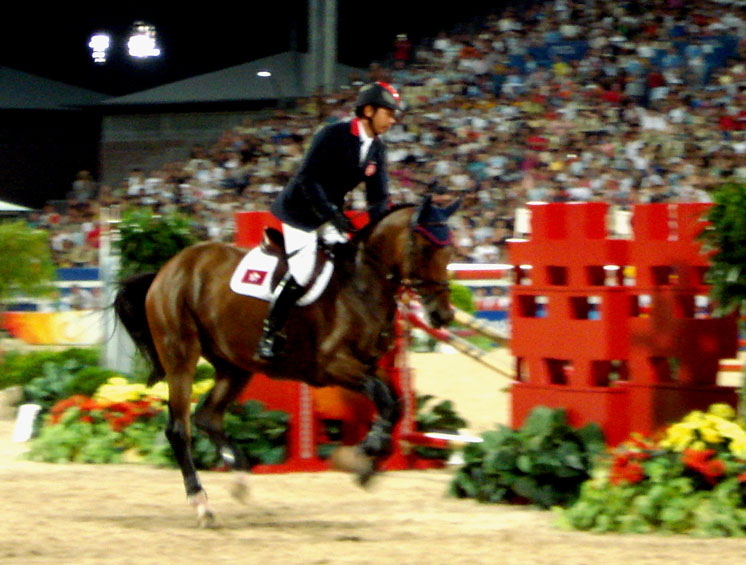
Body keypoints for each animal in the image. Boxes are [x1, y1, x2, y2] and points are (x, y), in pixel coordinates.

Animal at [112, 195, 456, 528]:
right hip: (180, 354)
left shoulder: (367, 367)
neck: (362, 284)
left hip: (234, 365)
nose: (443, 315)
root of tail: (167, 269)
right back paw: (201, 504)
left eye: (449, 249)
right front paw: (362, 456)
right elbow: (387, 400)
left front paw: (368, 461)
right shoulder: (335, 366)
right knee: (178, 428)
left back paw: (239, 476)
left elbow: (393, 402)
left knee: (207, 416)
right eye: (425, 248)